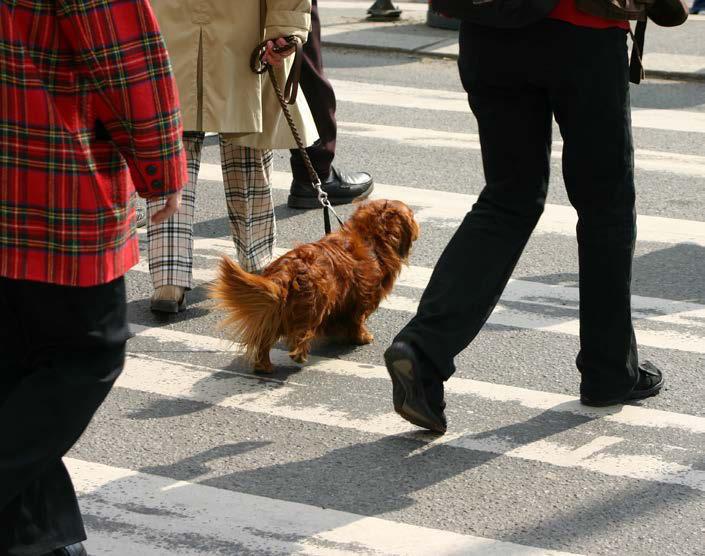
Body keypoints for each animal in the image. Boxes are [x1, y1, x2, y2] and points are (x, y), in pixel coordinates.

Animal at [209, 198, 418, 372]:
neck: (371, 239)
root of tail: (288, 269)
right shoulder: (362, 299)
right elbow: (356, 321)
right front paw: (362, 337)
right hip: (315, 305)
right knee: (300, 333)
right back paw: (299, 355)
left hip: (277, 311)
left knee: (265, 339)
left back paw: (264, 365)